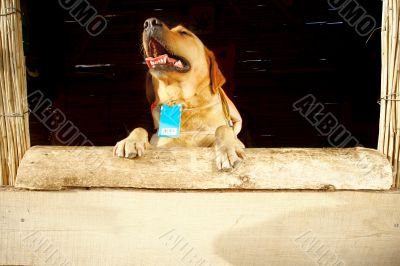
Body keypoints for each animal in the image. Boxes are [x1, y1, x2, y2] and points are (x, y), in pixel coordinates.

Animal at [112, 17, 244, 170]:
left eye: (184, 33)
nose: (149, 22)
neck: (181, 101)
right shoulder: (162, 145)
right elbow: (140, 128)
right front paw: (130, 141)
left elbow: (223, 128)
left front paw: (228, 149)